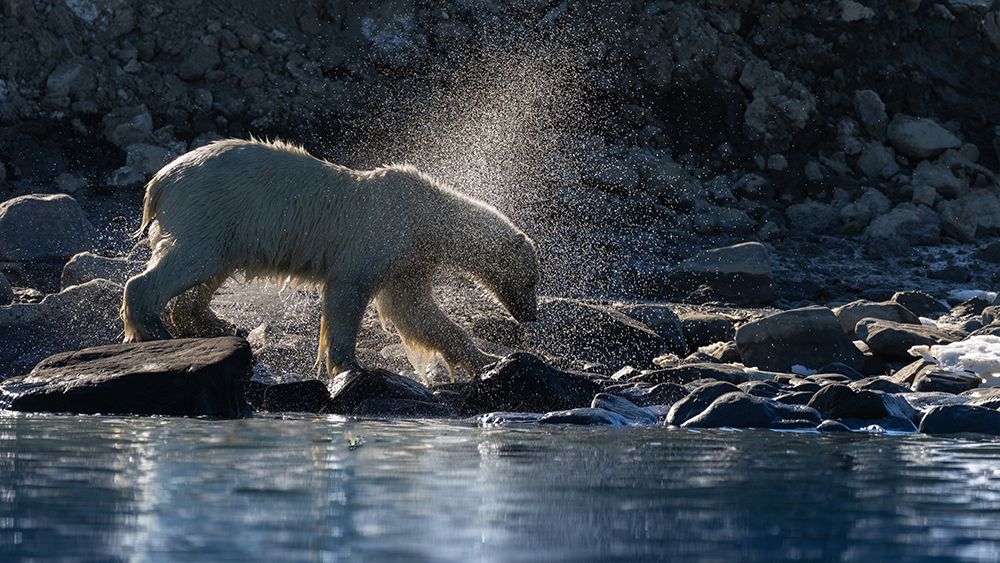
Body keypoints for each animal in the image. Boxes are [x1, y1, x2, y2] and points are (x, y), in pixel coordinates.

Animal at [122, 139, 544, 382]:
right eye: (531, 281)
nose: (531, 315)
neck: (426, 213)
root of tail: (160, 179)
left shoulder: (408, 258)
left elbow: (414, 309)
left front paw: (486, 359)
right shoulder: (379, 237)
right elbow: (349, 293)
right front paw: (350, 365)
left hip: (228, 225)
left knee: (209, 273)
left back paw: (216, 324)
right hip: (212, 206)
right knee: (191, 261)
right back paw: (153, 328)